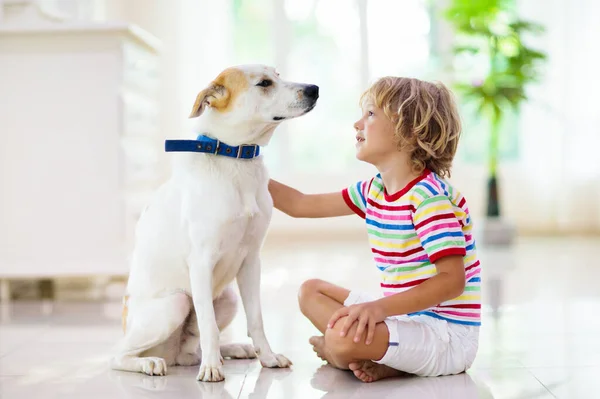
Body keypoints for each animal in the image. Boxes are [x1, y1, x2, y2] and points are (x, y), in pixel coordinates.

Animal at [111, 64, 318, 382]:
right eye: (264, 83)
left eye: (278, 75)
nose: (314, 89)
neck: (236, 160)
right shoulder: (201, 261)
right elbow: (208, 326)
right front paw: (211, 369)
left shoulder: (252, 261)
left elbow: (256, 319)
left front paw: (268, 358)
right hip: (175, 304)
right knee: (119, 355)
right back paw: (151, 363)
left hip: (228, 298)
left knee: (189, 352)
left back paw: (232, 350)